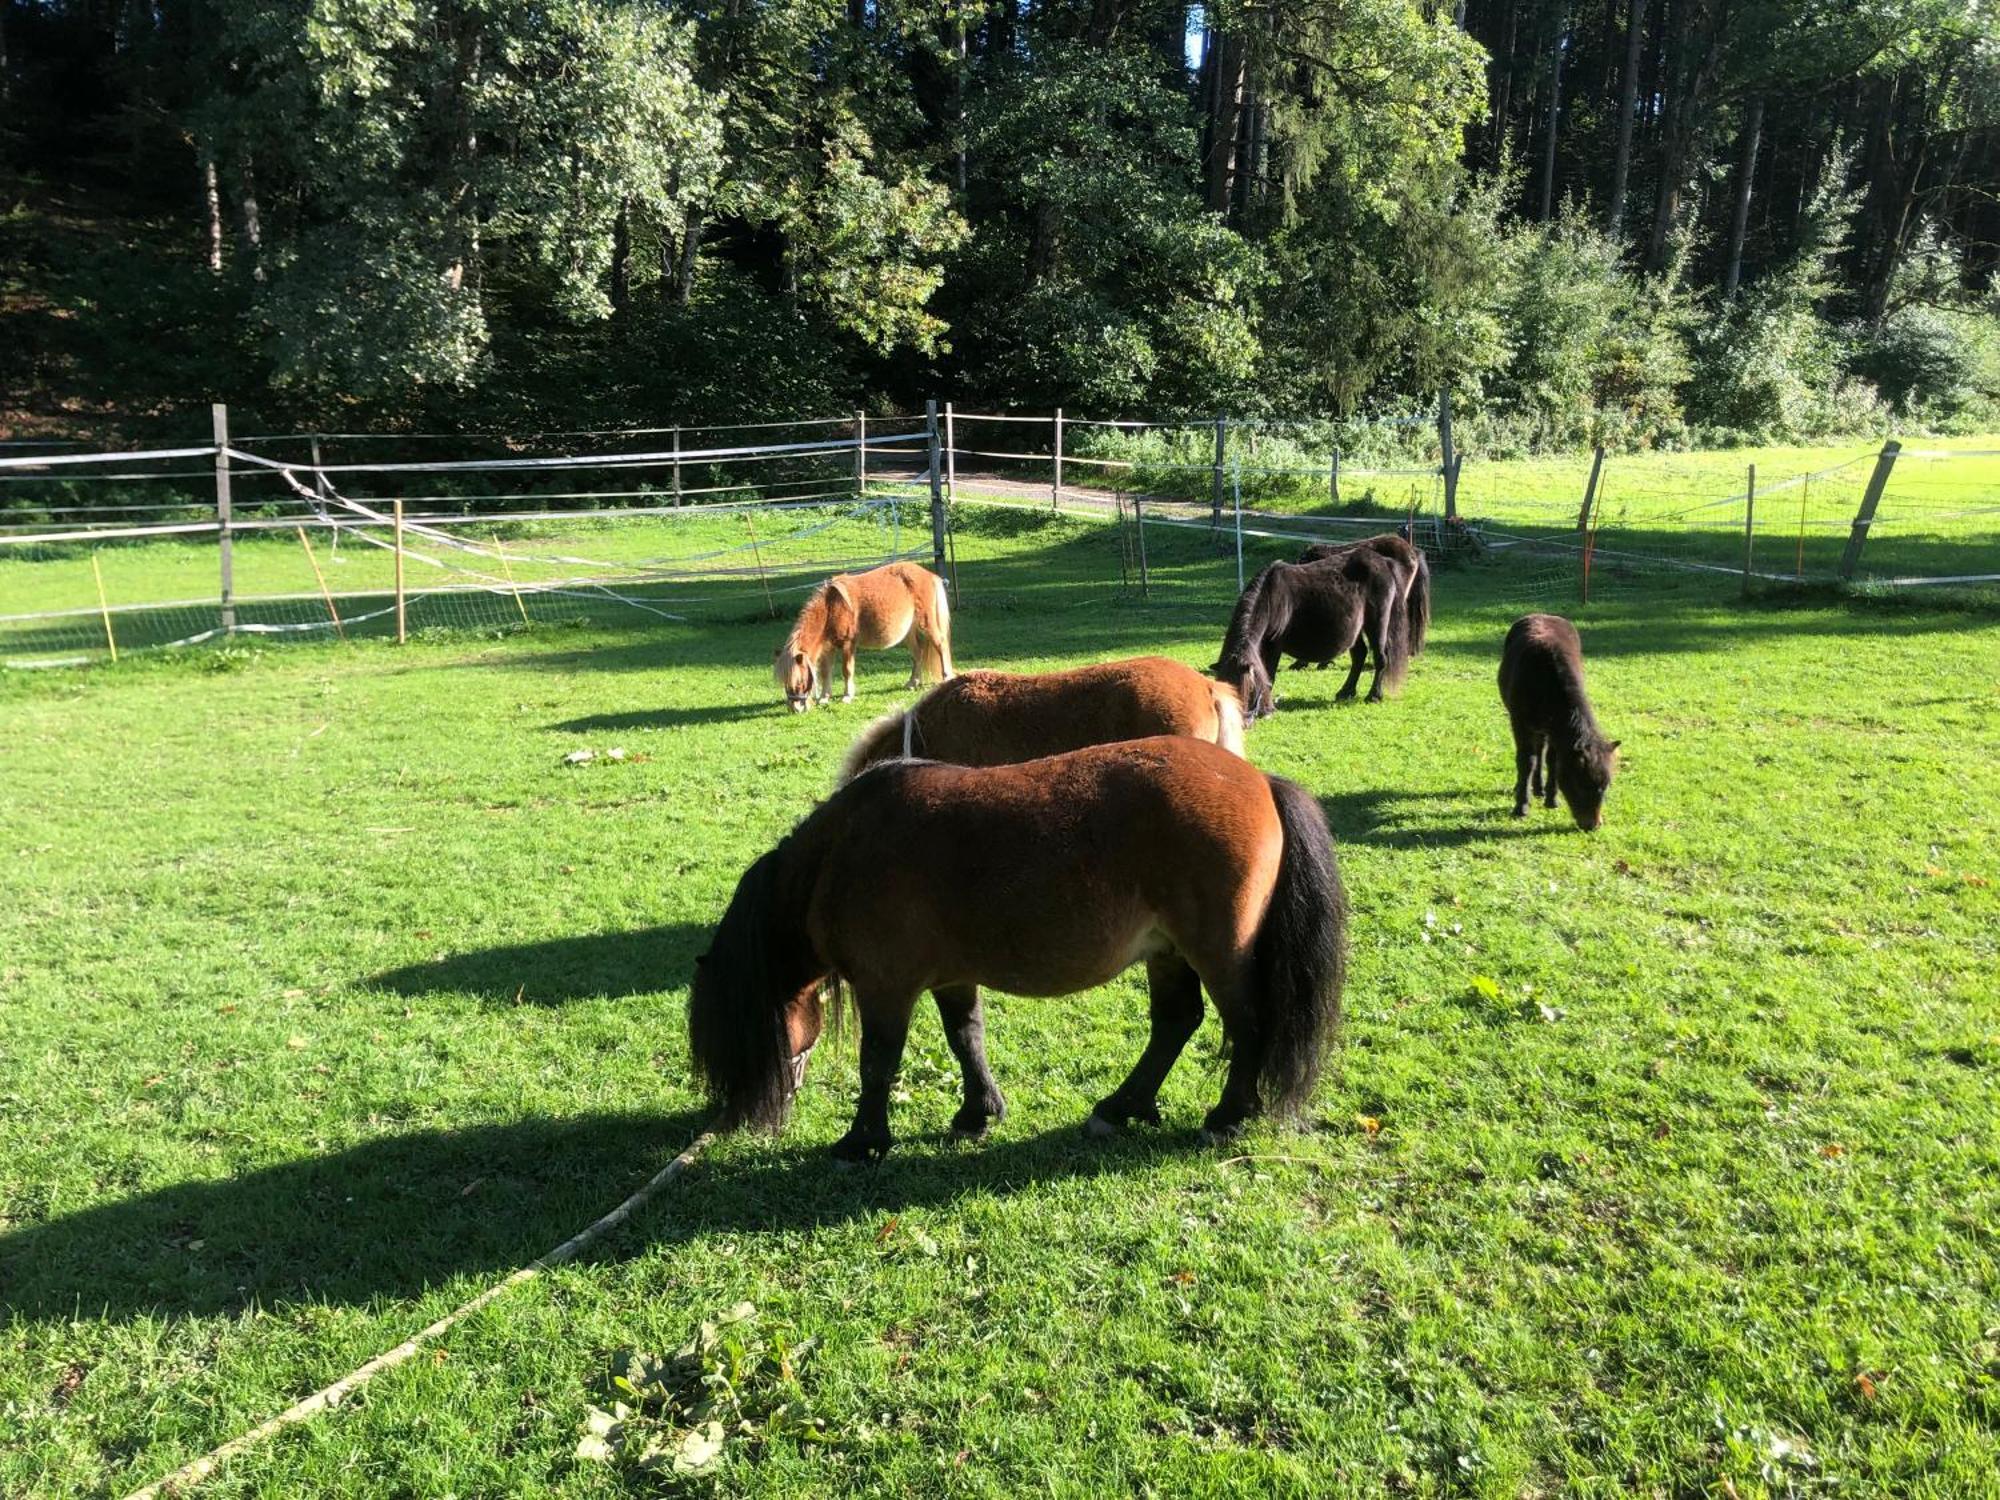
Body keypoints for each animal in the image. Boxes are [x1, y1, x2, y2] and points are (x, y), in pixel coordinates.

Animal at [688, 740, 1344, 1160]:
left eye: (733, 1038)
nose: (738, 1120)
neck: (842, 853)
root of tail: (1259, 781)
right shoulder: (950, 979)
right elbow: (966, 1040)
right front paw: (977, 1114)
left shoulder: (886, 989)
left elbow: (878, 1061)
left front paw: (862, 1142)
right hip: (1168, 953)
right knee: (1176, 1023)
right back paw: (1121, 1107)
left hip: (1217, 953)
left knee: (1248, 1024)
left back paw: (1227, 1117)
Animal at [772, 564, 952, 716]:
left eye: (799, 680)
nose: (795, 708)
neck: (832, 607)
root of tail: (929, 575)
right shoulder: (828, 648)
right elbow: (826, 671)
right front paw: (824, 697)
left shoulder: (848, 645)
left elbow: (847, 670)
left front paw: (847, 696)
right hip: (908, 632)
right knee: (918, 653)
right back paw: (912, 683)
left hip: (927, 624)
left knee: (940, 645)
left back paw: (946, 677)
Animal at [1208, 552, 1416, 724]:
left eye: (1246, 691)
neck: (1270, 597)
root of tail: (1384, 562)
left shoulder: (1274, 644)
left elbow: (1269, 675)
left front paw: (1267, 709)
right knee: (1359, 656)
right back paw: (1346, 692)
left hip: (1377, 622)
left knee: (1381, 658)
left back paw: (1374, 696)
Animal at [1504, 612, 1624, 836]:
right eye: (1580, 783)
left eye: (1605, 785)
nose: (1593, 825)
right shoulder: (1519, 722)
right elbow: (1526, 761)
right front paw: (1521, 806)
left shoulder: (1555, 732)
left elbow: (1552, 760)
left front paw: (1552, 799)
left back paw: (1540, 789)